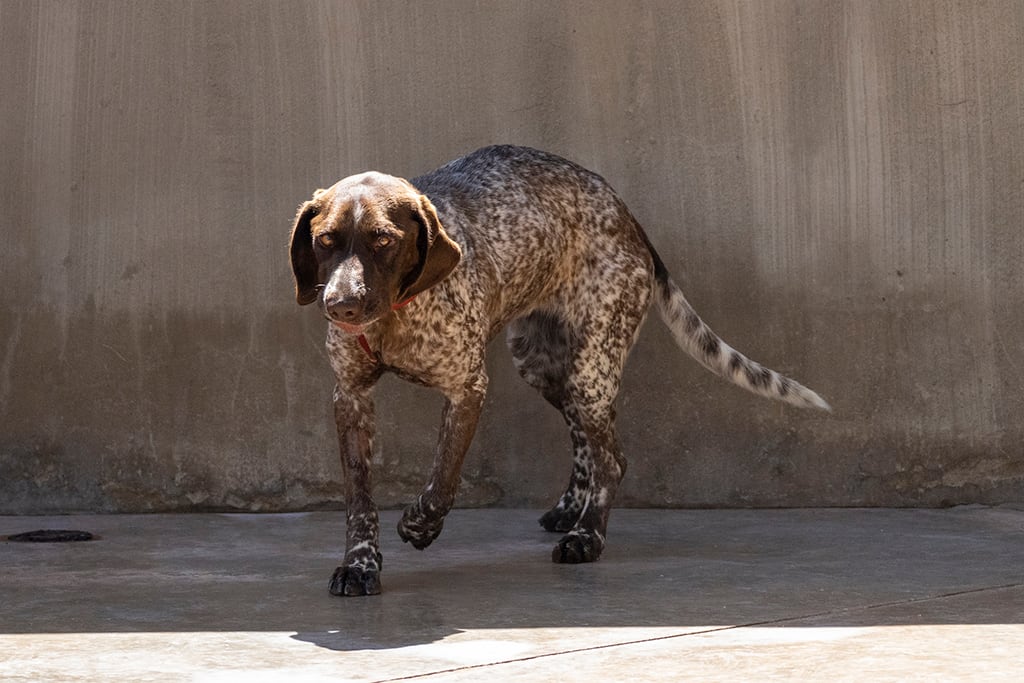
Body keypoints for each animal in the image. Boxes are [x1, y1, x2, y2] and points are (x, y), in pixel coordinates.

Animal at [284, 145, 827, 598]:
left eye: (383, 241)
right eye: (325, 240)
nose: (341, 305)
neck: (395, 317)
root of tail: (625, 212)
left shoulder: (467, 389)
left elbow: (443, 479)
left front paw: (420, 525)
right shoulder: (351, 397)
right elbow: (359, 499)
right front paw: (359, 565)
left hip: (592, 365)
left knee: (612, 459)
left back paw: (587, 536)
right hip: (545, 366)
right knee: (587, 441)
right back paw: (571, 510)